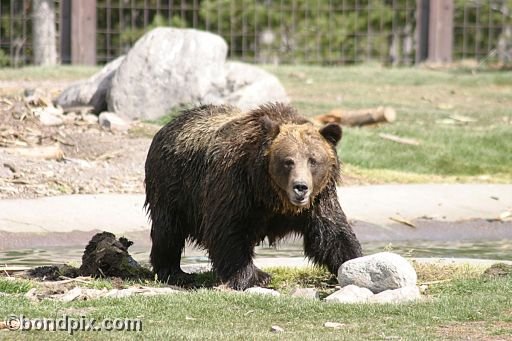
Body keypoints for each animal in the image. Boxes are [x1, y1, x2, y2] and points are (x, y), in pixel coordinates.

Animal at [142, 102, 362, 288]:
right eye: (288, 161)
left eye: (313, 160)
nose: (300, 187)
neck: (270, 194)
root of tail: (168, 125)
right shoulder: (236, 186)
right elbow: (228, 230)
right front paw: (256, 276)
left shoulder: (319, 199)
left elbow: (332, 233)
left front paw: (352, 262)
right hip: (171, 186)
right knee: (168, 230)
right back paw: (174, 272)